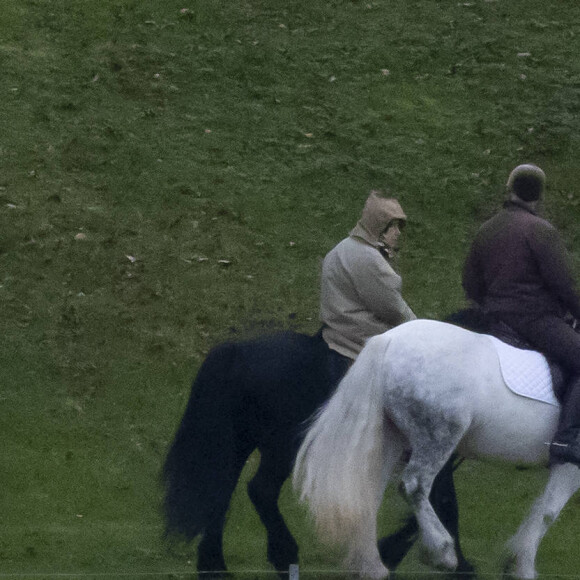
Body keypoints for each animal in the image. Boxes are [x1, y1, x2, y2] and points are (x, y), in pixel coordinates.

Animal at [161, 326, 474, 576]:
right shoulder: (433, 455)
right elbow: (444, 503)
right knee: (259, 490)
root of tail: (236, 352)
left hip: (240, 443)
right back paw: (283, 553)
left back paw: (216, 566)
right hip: (282, 448)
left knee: (220, 494)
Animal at [294, 320, 580, 576]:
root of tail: (389, 339)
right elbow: (547, 513)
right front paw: (522, 567)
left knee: (370, 494)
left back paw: (372, 567)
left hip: (392, 438)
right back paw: (441, 552)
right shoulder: (570, 466)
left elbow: (541, 509)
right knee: (414, 485)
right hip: (437, 436)